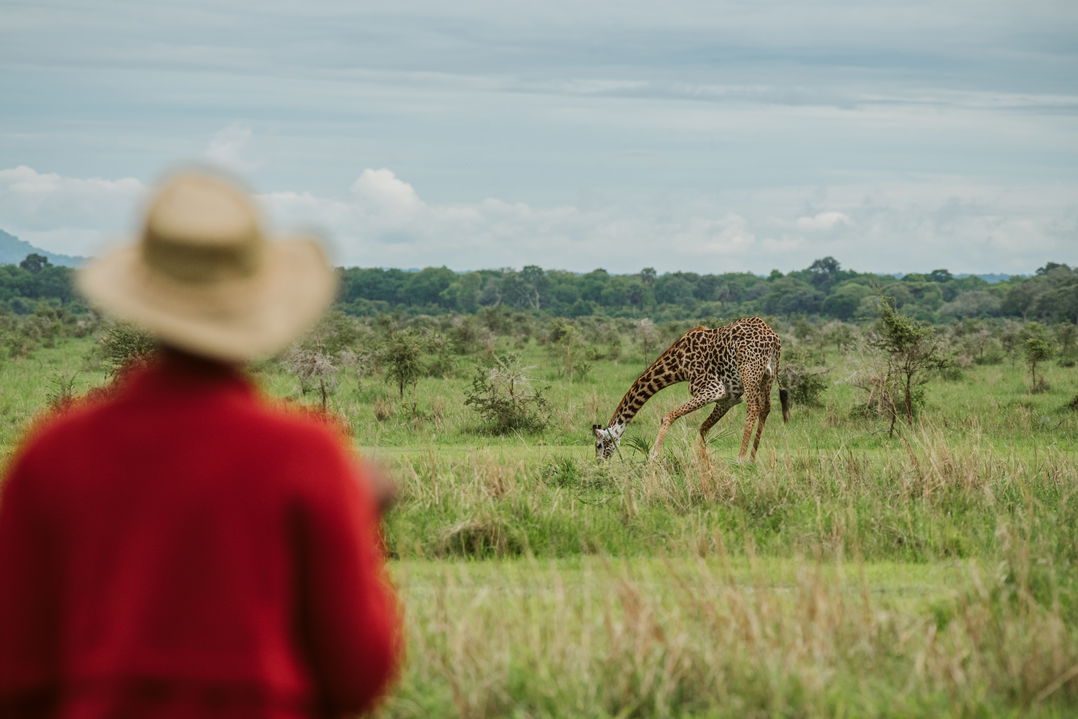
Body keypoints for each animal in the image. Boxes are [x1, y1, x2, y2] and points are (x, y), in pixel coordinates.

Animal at [590, 316, 793, 463]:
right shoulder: (729, 398)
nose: (599, 462)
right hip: (767, 376)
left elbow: (668, 416)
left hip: (749, 369)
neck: (678, 366)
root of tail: (774, 338)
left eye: (599, 445)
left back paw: (740, 458)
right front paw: (702, 459)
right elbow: (703, 427)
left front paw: (653, 455)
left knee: (753, 408)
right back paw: (751, 458)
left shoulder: (713, 389)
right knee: (765, 409)